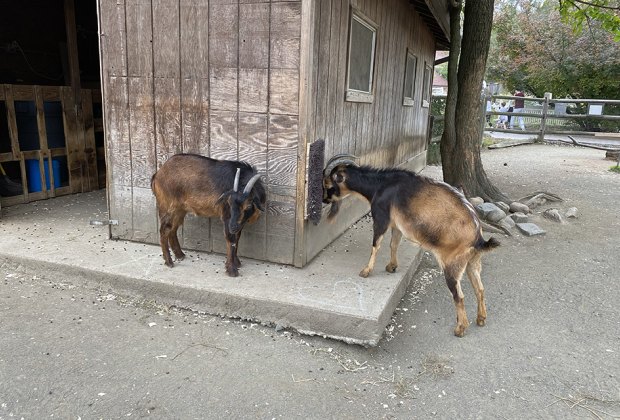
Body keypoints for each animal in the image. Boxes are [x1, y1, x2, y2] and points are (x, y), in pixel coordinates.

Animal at [322, 158, 502, 338]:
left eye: (328, 184)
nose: (324, 201)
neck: (380, 185)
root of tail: (478, 238)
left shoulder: (381, 217)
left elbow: (376, 244)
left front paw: (366, 271)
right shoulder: (397, 225)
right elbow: (393, 244)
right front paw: (391, 266)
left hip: (452, 265)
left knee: (459, 296)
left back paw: (460, 328)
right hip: (473, 262)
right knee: (480, 289)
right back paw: (481, 318)